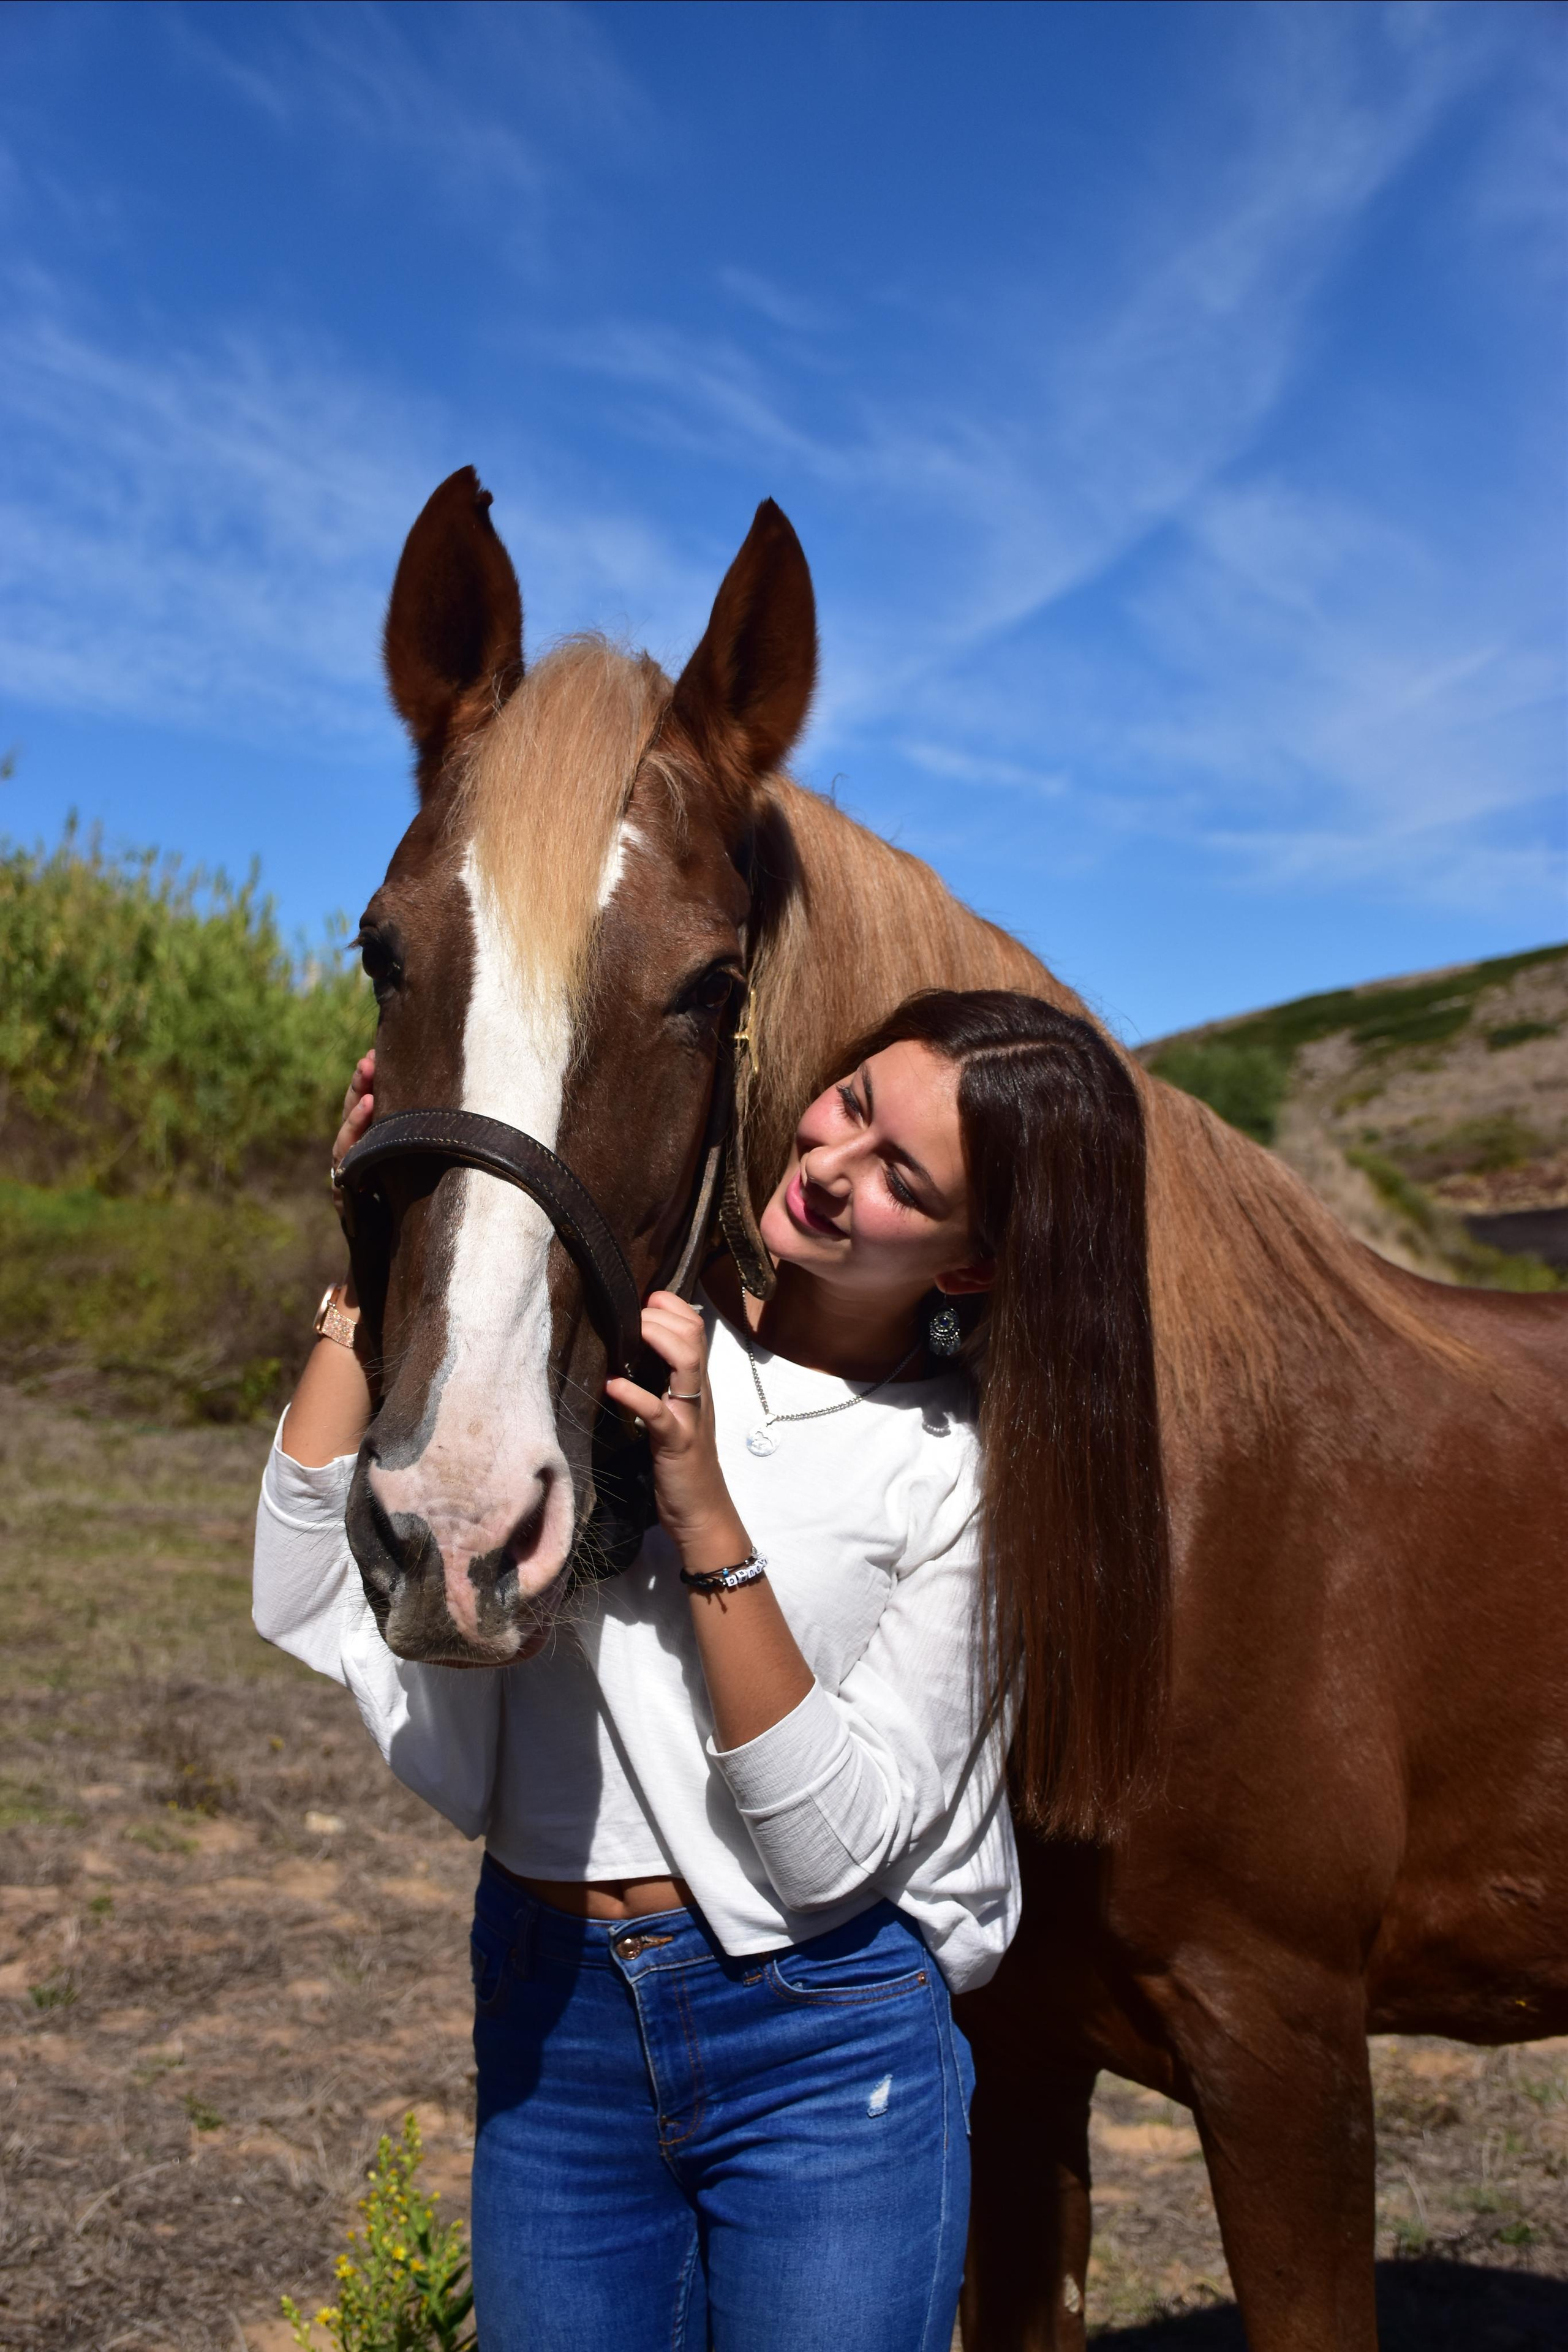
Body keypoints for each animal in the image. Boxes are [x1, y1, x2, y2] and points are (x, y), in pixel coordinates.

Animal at [338, 466, 1568, 2349]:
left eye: (707, 987)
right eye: (382, 949)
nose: (460, 1525)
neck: (1164, 1522)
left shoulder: (1288, 2054)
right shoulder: (1015, 2048)